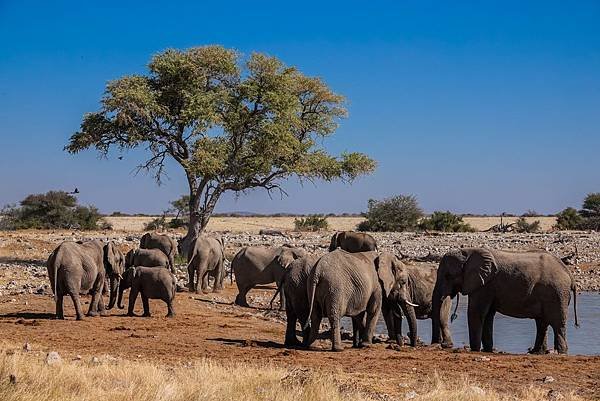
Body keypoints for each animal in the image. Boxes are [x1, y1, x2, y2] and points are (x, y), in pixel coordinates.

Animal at [434, 247, 580, 354]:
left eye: (447, 276)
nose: (441, 344)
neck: (468, 252)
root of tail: (570, 275)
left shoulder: (484, 285)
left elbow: (476, 313)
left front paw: (474, 350)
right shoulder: (487, 286)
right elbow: (488, 315)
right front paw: (487, 350)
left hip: (557, 293)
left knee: (557, 323)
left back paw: (561, 352)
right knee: (542, 323)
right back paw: (536, 352)